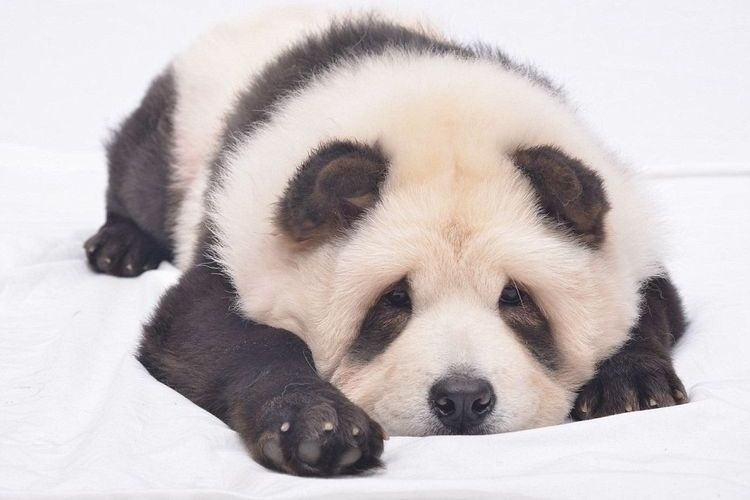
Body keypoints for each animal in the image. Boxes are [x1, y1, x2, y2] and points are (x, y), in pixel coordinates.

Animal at [84, 8, 688, 476]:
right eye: (393, 298)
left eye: (515, 297)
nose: (462, 400)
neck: (433, 107)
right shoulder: (240, 236)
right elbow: (213, 331)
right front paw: (321, 428)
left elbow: (649, 302)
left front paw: (632, 385)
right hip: (182, 125)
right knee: (137, 171)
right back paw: (121, 246)